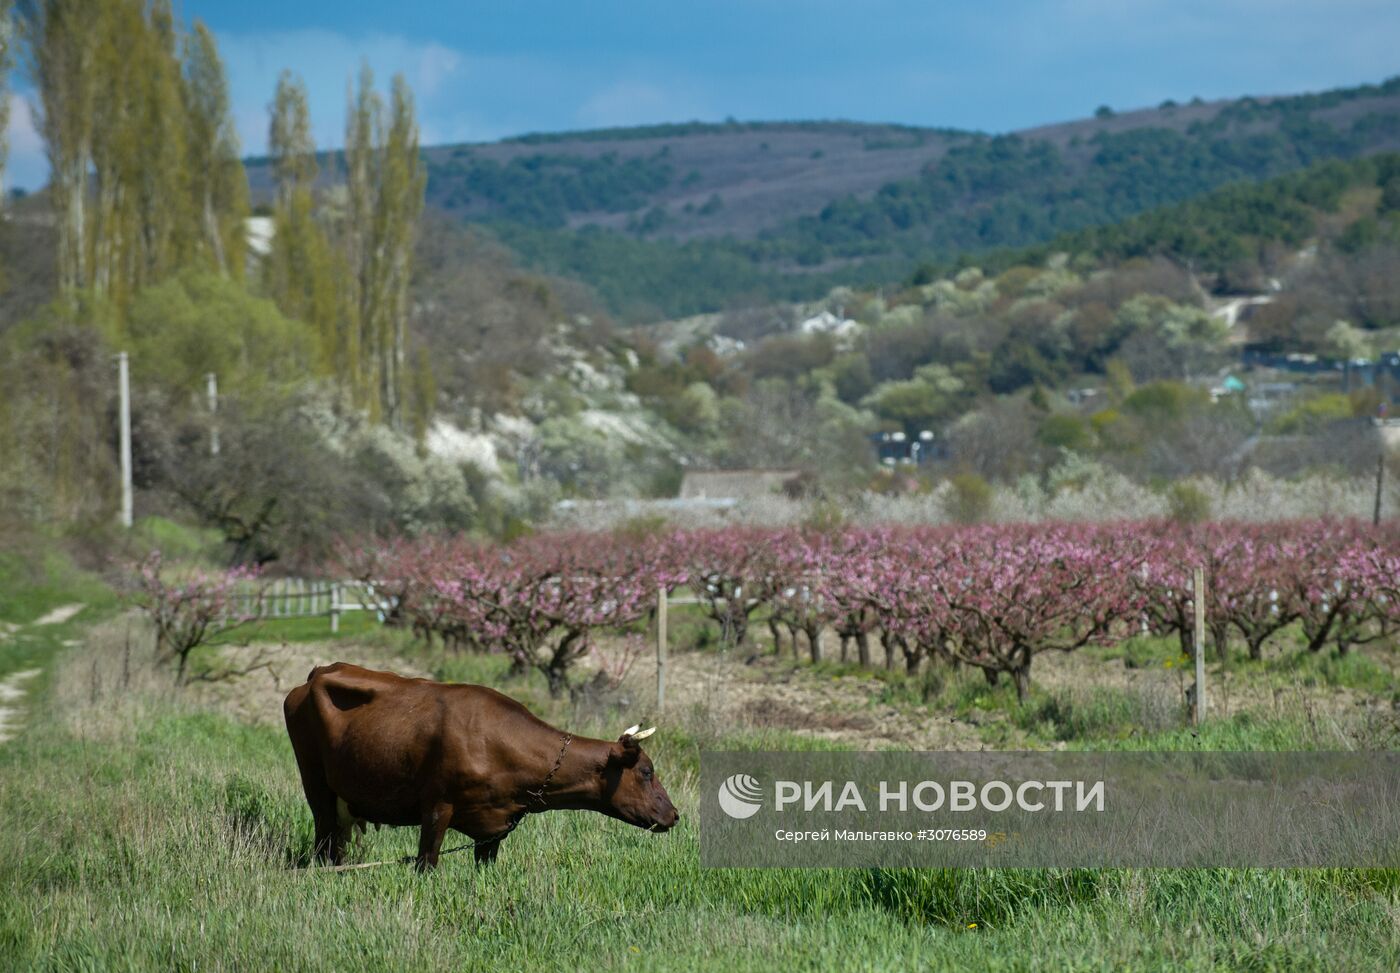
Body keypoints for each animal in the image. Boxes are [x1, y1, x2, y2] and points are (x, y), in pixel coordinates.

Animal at [281, 663, 674, 868]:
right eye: (647, 771)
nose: (675, 815)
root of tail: (318, 673)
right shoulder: (436, 807)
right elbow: (426, 863)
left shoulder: (494, 825)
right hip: (316, 784)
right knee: (323, 839)